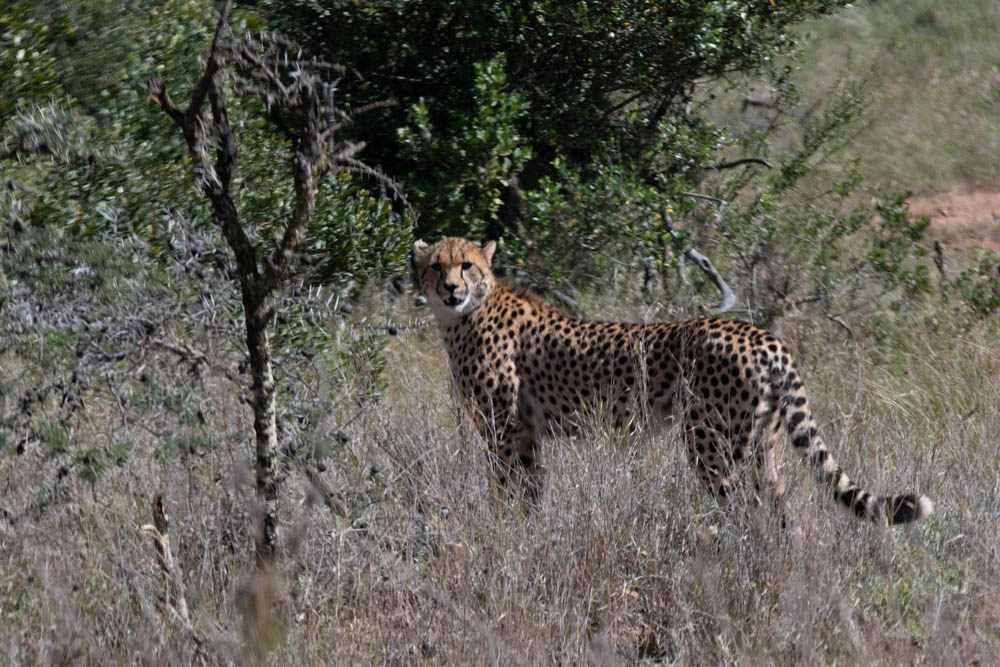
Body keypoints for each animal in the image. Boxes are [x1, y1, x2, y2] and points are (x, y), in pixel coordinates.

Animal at [414, 236, 934, 525]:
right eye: (436, 265)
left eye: (467, 265)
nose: (451, 288)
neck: (464, 315)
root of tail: (759, 333)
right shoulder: (526, 434)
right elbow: (531, 490)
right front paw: (529, 533)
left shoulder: (503, 430)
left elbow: (508, 489)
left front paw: (505, 533)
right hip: (759, 445)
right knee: (783, 514)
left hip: (711, 442)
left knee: (747, 510)